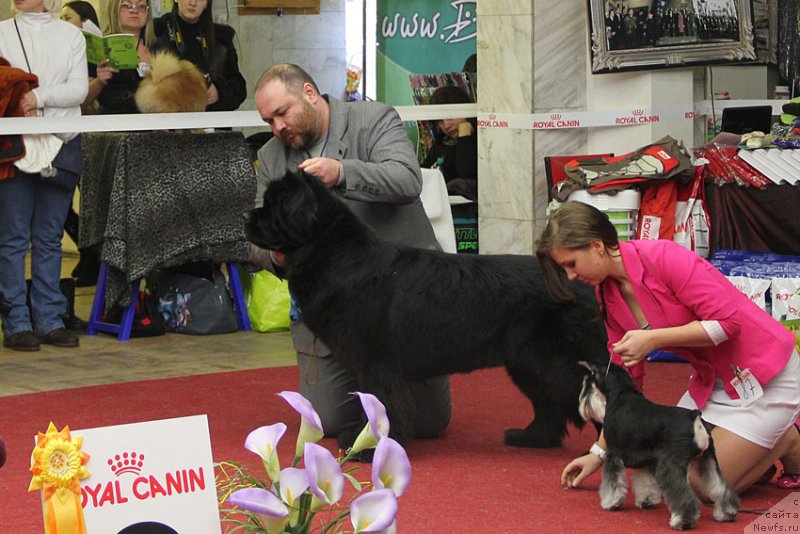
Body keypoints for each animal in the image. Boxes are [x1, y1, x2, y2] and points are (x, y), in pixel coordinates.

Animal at [247, 174, 608, 450]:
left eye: (273, 205)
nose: (247, 217)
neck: (337, 255)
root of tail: (579, 282)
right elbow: (370, 401)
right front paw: (360, 439)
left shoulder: (376, 361)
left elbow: (380, 401)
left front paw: (370, 447)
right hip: (527, 362)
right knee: (548, 403)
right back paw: (531, 437)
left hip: (549, 360)